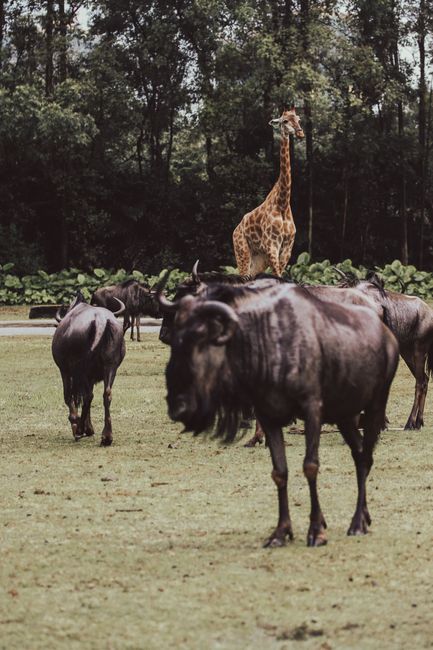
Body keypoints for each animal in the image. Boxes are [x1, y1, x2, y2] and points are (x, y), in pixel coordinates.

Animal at [232, 107, 304, 277]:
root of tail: (235, 230)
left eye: (298, 119)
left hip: (259, 259)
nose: (300, 133)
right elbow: (277, 276)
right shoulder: (272, 245)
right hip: (242, 252)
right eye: (285, 121)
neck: (283, 203)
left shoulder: (287, 248)